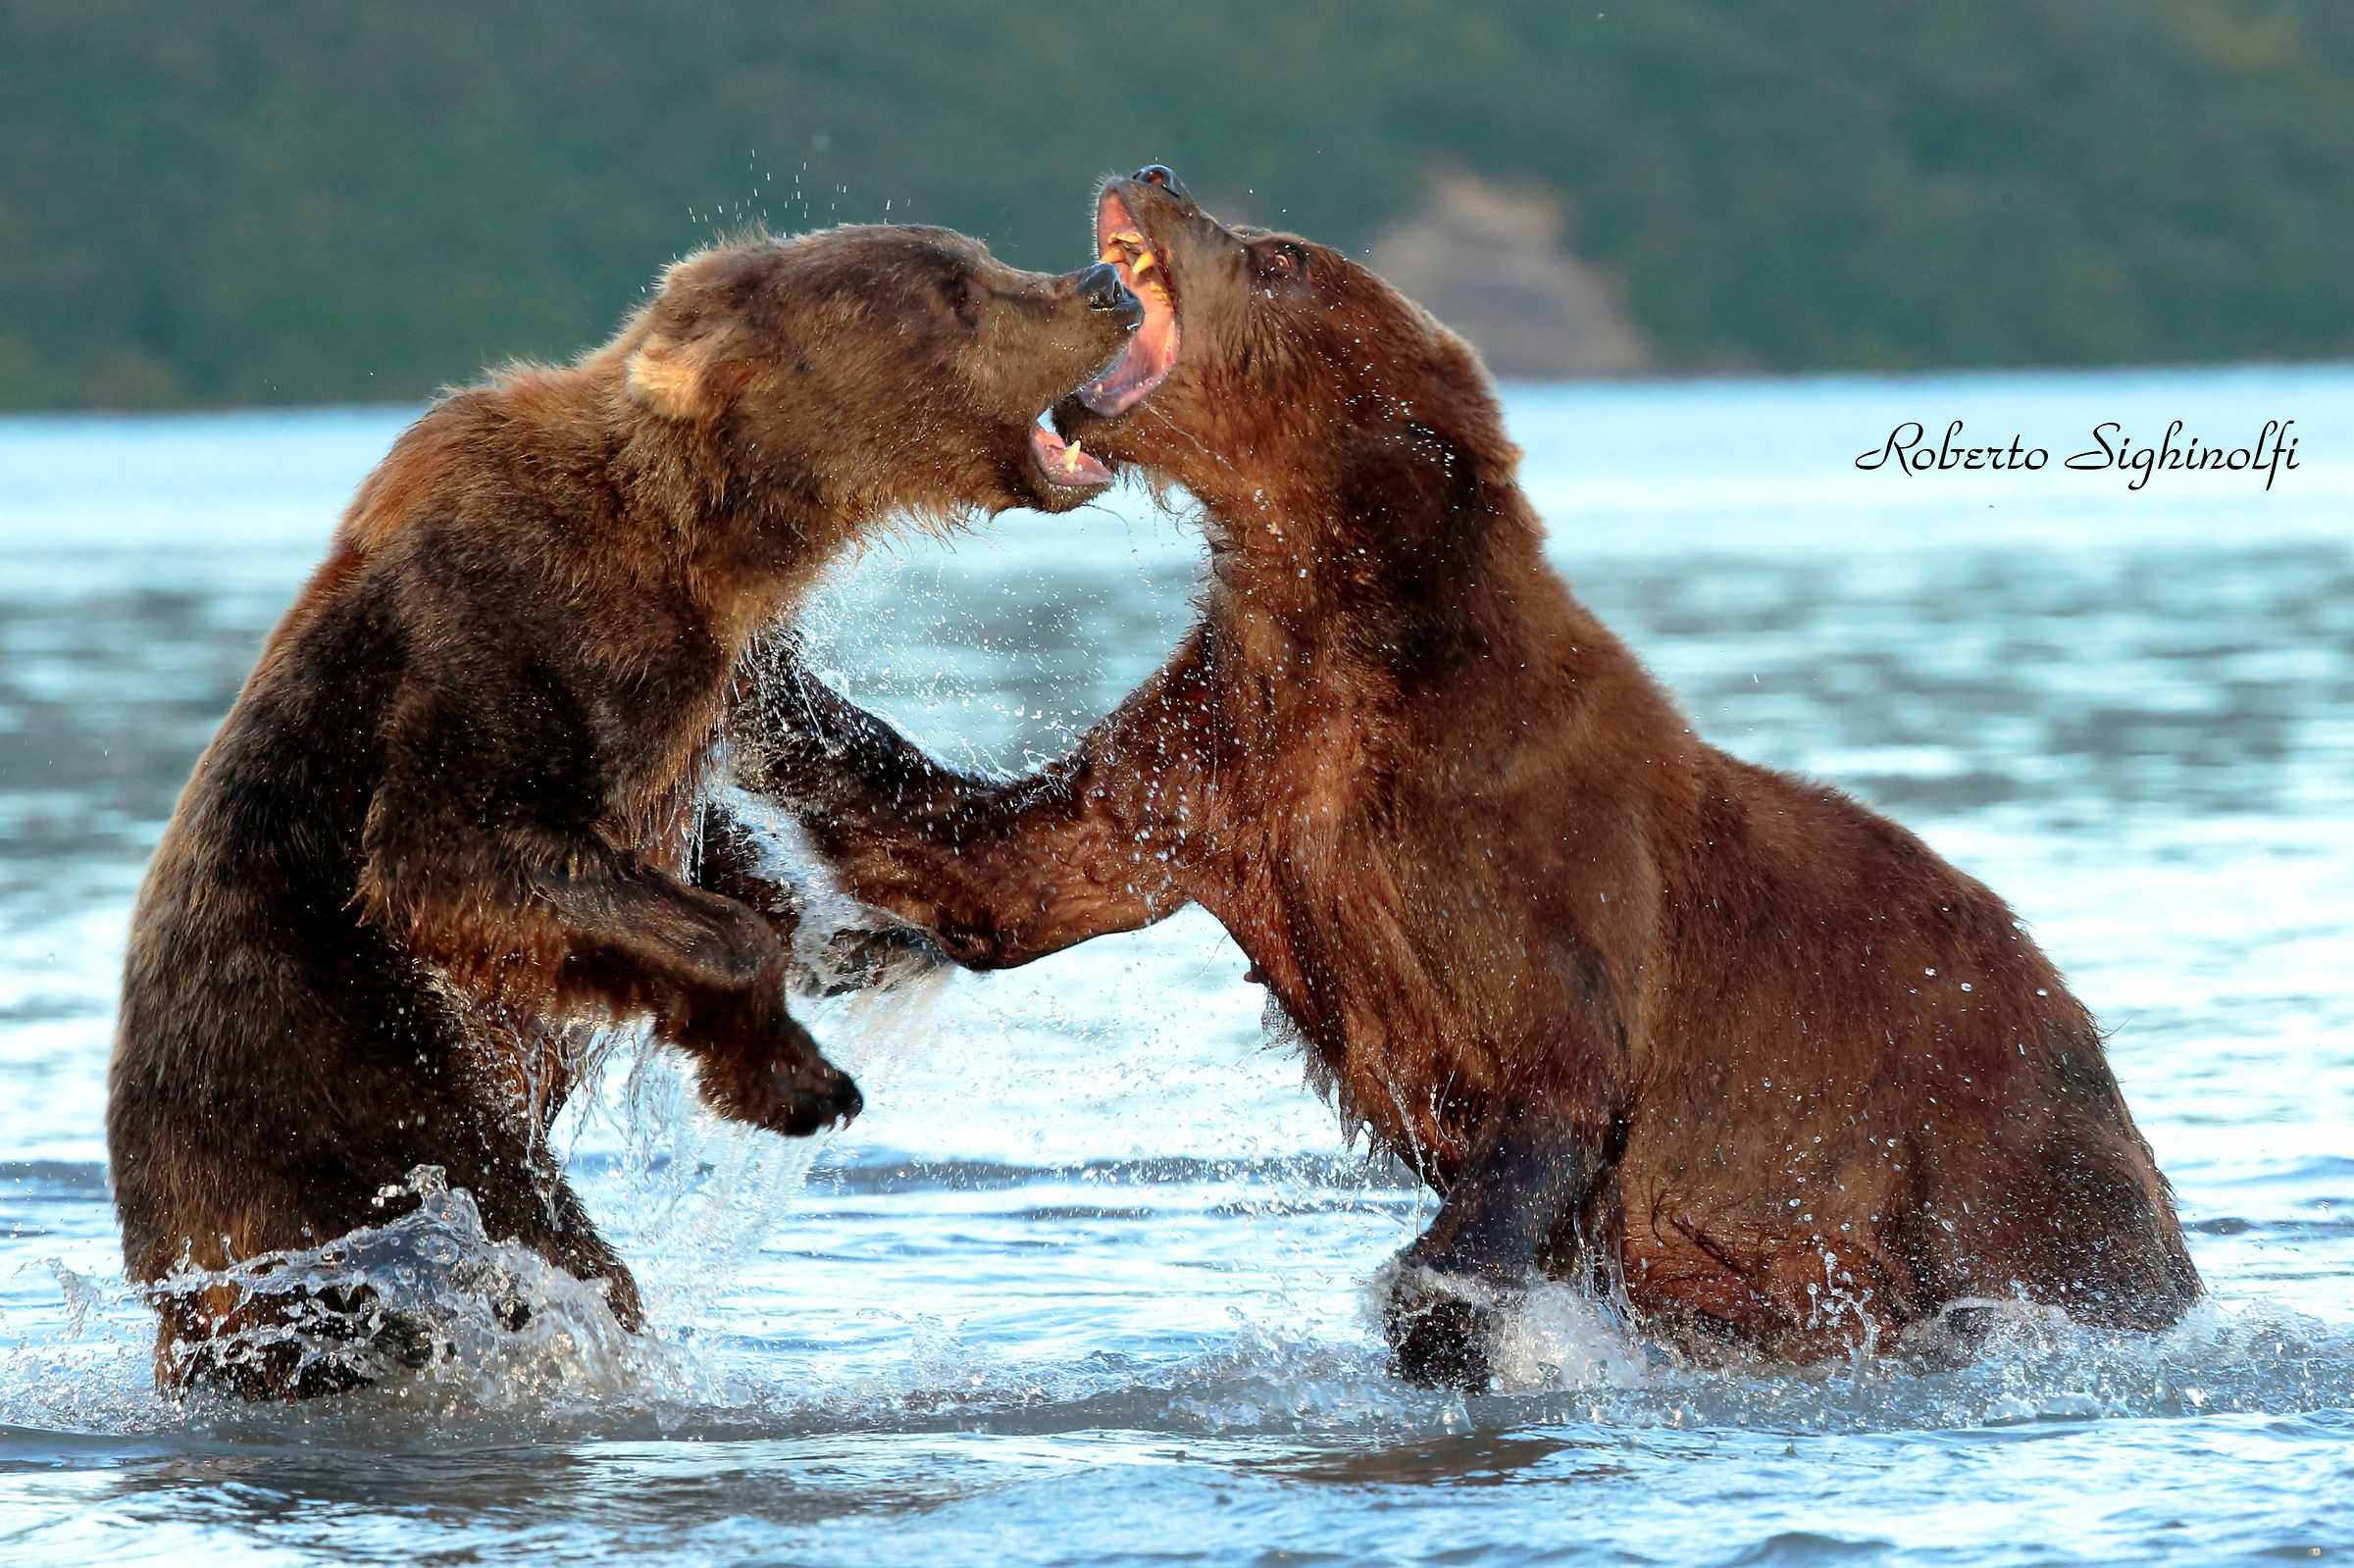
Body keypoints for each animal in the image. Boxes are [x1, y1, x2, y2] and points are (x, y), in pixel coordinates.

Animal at [106, 223, 1142, 1398]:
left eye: (973, 261)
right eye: (958, 291)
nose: (1106, 283)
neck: (706, 537)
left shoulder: (714, 678)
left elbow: (737, 821)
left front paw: (874, 932)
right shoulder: (513, 624)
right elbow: (452, 855)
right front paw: (798, 1076)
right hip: (359, 1128)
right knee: (523, 1247)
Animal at [737, 168, 2201, 1385]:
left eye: (1279, 255)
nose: (1150, 172)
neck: (1336, 631)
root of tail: (2075, 1021)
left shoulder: (1537, 847)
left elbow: (1548, 1085)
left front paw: (1437, 1301)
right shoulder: (1215, 763)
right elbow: (997, 860)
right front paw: (751, 663)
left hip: (1991, 1148)